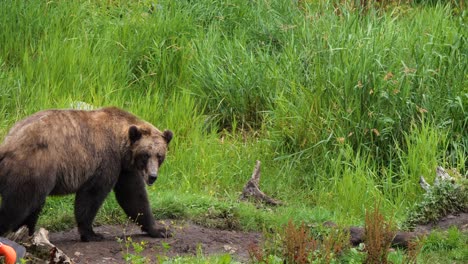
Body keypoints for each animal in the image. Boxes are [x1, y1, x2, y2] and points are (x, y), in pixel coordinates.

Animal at [0, 106, 173, 241]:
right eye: (145, 155)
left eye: (159, 156)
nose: (152, 176)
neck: (121, 145)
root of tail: (7, 143)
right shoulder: (106, 160)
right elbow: (92, 195)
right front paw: (92, 234)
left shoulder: (125, 169)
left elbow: (134, 196)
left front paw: (160, 230)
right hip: (35, 167)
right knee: (19, 205)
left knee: (32, 206)